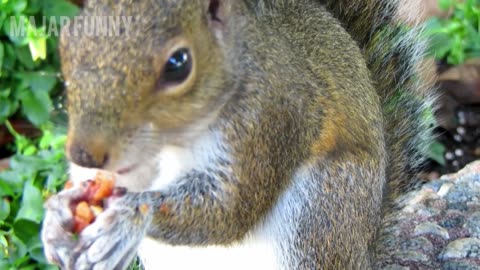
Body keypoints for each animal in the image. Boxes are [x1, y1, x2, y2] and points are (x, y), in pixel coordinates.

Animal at [42, 0, 436, 270]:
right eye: (67, 42)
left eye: (178, 64)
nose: (83, 153)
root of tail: (364, 254)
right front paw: (57, 215)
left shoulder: (269, 118)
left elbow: (229, 209)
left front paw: (130, 216)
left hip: (322, 212)